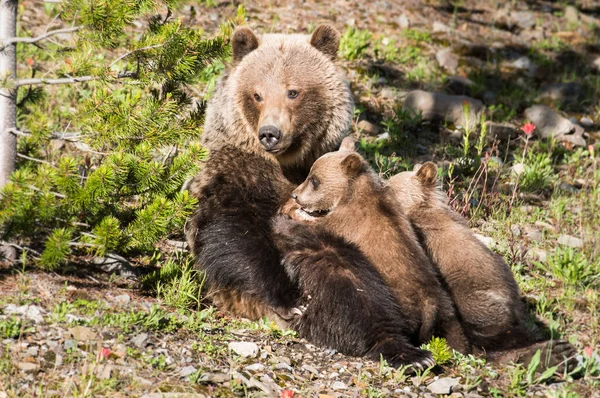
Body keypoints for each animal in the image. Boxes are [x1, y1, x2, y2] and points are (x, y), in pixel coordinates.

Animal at [183, 24, 352, 324]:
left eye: (293, 92)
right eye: (257, 94)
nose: (270, 133)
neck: (287, 163)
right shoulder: (237, 173)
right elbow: (231, 232)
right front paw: (289, 299)